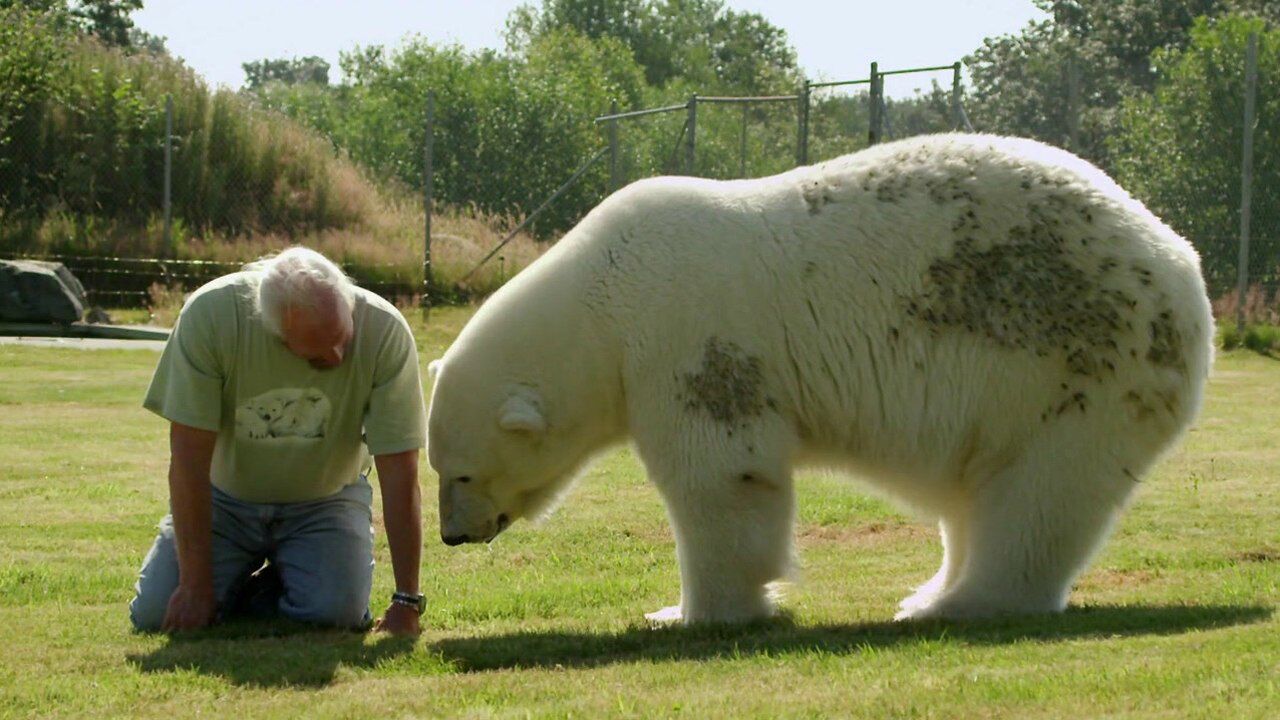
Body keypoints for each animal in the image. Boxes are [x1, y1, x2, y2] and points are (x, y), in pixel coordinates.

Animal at [427, 133, 1208, 622]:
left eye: (461, 472)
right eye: (438, 469)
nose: (452, 536)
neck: (603, 298)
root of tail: (1181, 262)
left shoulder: (688, 340)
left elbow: (722, 476)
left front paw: (687, 612)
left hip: (1078, 365)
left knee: (1038, 494)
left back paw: (964, 602)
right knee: (975, 494)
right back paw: (926, 593)